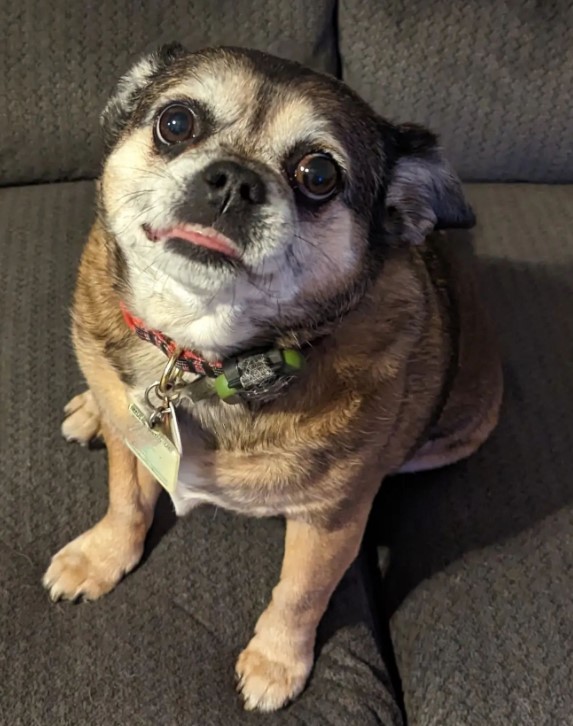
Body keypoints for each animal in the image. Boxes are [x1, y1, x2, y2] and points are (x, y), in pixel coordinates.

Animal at [43, 44, 500, 712]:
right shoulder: (135, 444)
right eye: (175, 123)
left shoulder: (330, 521)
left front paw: (276, 662)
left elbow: (300, 593)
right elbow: (127, 502)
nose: (234, 179)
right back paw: (90, 412)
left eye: (319, 175)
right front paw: (100, 558)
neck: (201, 360)